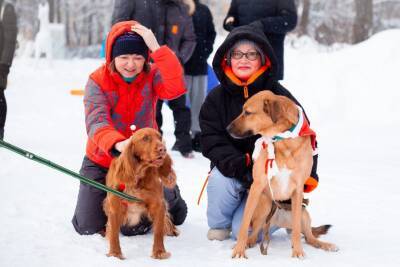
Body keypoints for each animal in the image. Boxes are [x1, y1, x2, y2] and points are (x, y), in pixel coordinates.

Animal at [103, 129, 178, 260]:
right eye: (145, 138)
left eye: (160, 137)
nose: (163, 149)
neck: (139, 174)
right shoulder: (115, 207)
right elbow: (114, 235)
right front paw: (115, 254)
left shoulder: (158, 205)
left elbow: (158, 232)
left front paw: (159, 252)